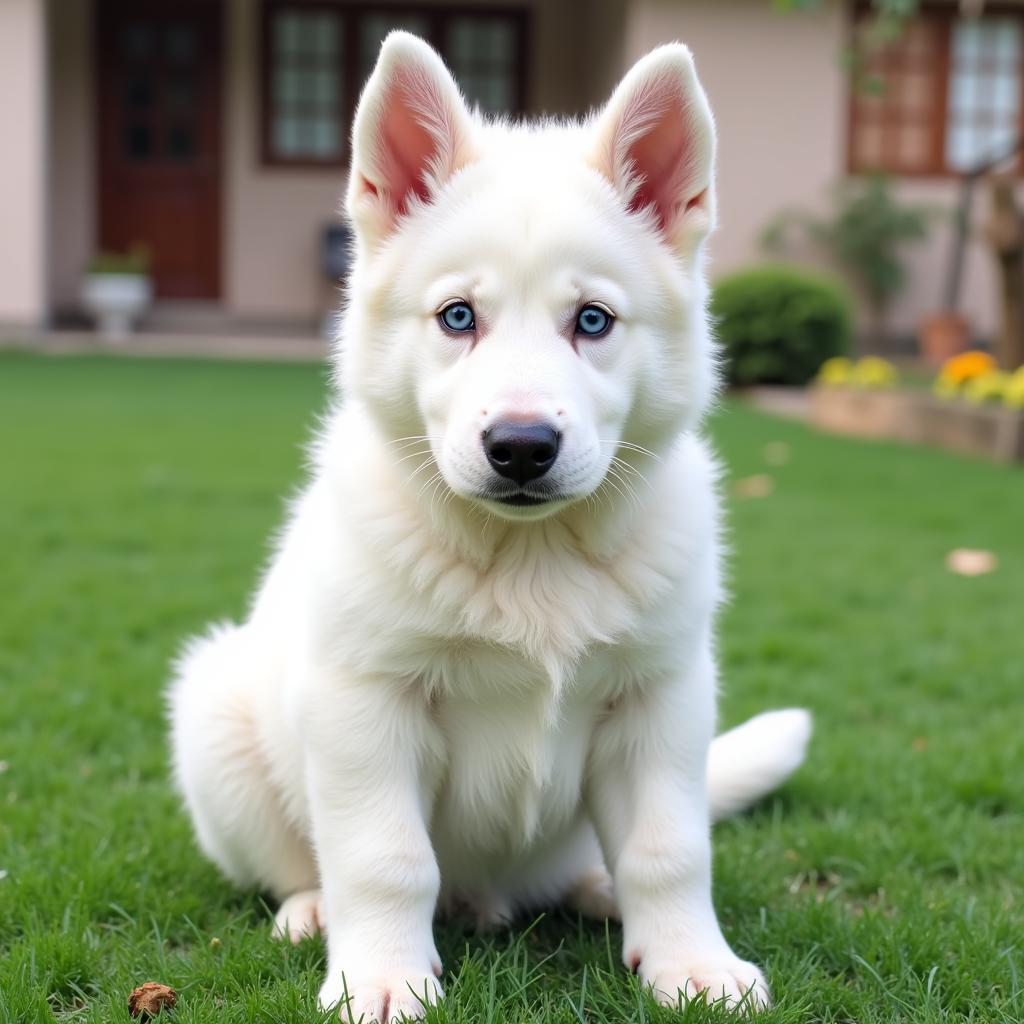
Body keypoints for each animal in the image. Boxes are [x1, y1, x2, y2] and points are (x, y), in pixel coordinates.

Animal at [167, 32, 811, 1024]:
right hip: (217, 719)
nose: (520, 448)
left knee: (598, 861)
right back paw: (313, 913)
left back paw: (596, 891)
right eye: (458, 317)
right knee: (299, 864)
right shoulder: (365, 704)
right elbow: (384, 859)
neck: (530, 556)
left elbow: (670, 849)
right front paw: (381, 978)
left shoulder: (661, 698)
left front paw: (692, 965)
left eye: (593, 320)